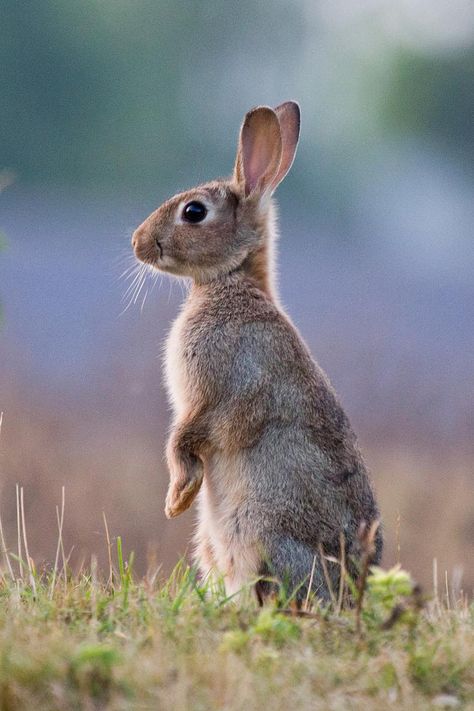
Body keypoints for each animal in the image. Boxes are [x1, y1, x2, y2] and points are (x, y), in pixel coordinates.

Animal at [131, 98, 384, 600]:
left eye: (194, 212)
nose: (137, 244)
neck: (231, 281)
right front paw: (178, 501)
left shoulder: (215, 393)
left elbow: (183, 440)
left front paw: (177, 500)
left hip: (259, 529)